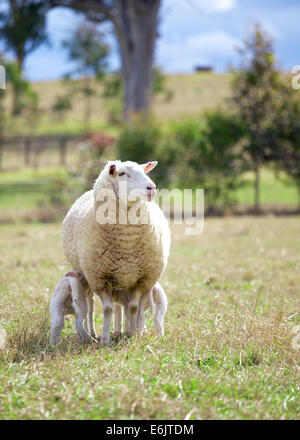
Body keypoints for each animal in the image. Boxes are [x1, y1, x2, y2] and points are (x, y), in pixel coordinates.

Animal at [61, 160, 170, 346]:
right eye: (122, 173)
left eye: (144, 171)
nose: (151, 188)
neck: (127, 243)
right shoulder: (100, 279)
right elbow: (107, 309)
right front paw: (105, 340)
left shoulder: (141, 280)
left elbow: (133, 308)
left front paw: (132, 336)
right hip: (86, 276)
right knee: (91, 305)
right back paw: (93, 333)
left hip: (126, 281)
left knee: (124, 307)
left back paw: (125, 330)